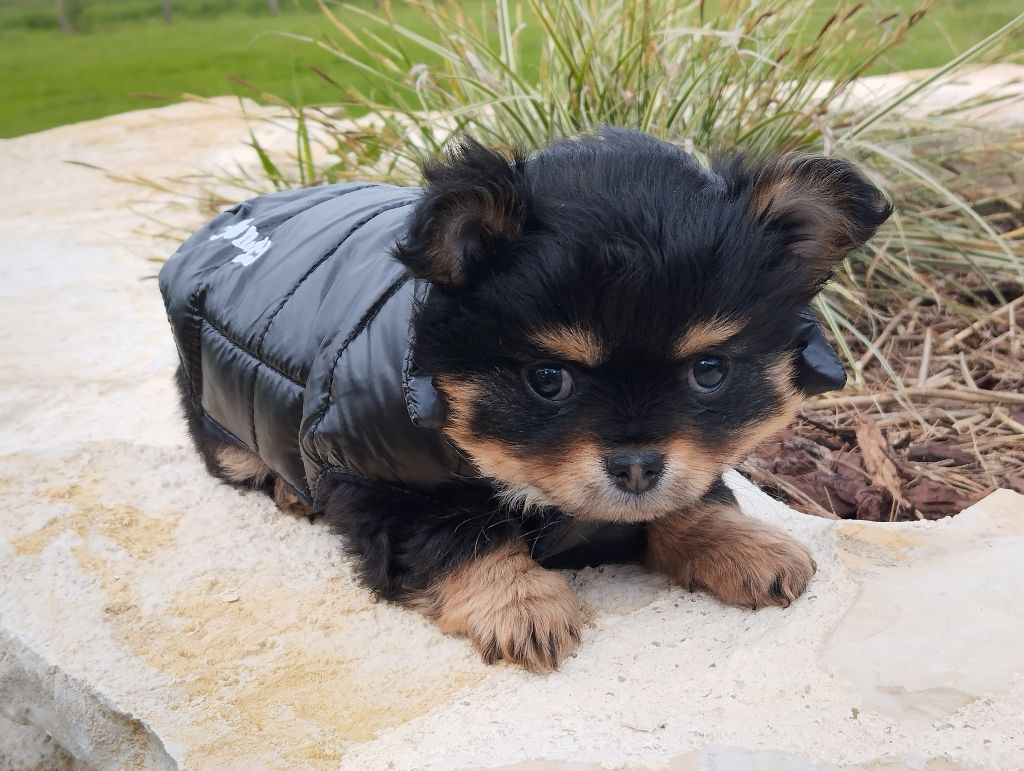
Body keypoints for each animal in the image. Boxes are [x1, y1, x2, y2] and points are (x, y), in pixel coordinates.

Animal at [162, 128, 891, 671]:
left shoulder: (685, 463)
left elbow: (694, 488)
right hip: (227, 417)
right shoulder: (382, 482)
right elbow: (455, 532)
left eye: (709, 371)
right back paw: (286, 491)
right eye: (547, 379)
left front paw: (740, 544)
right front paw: (519, 606)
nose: (635, 467)